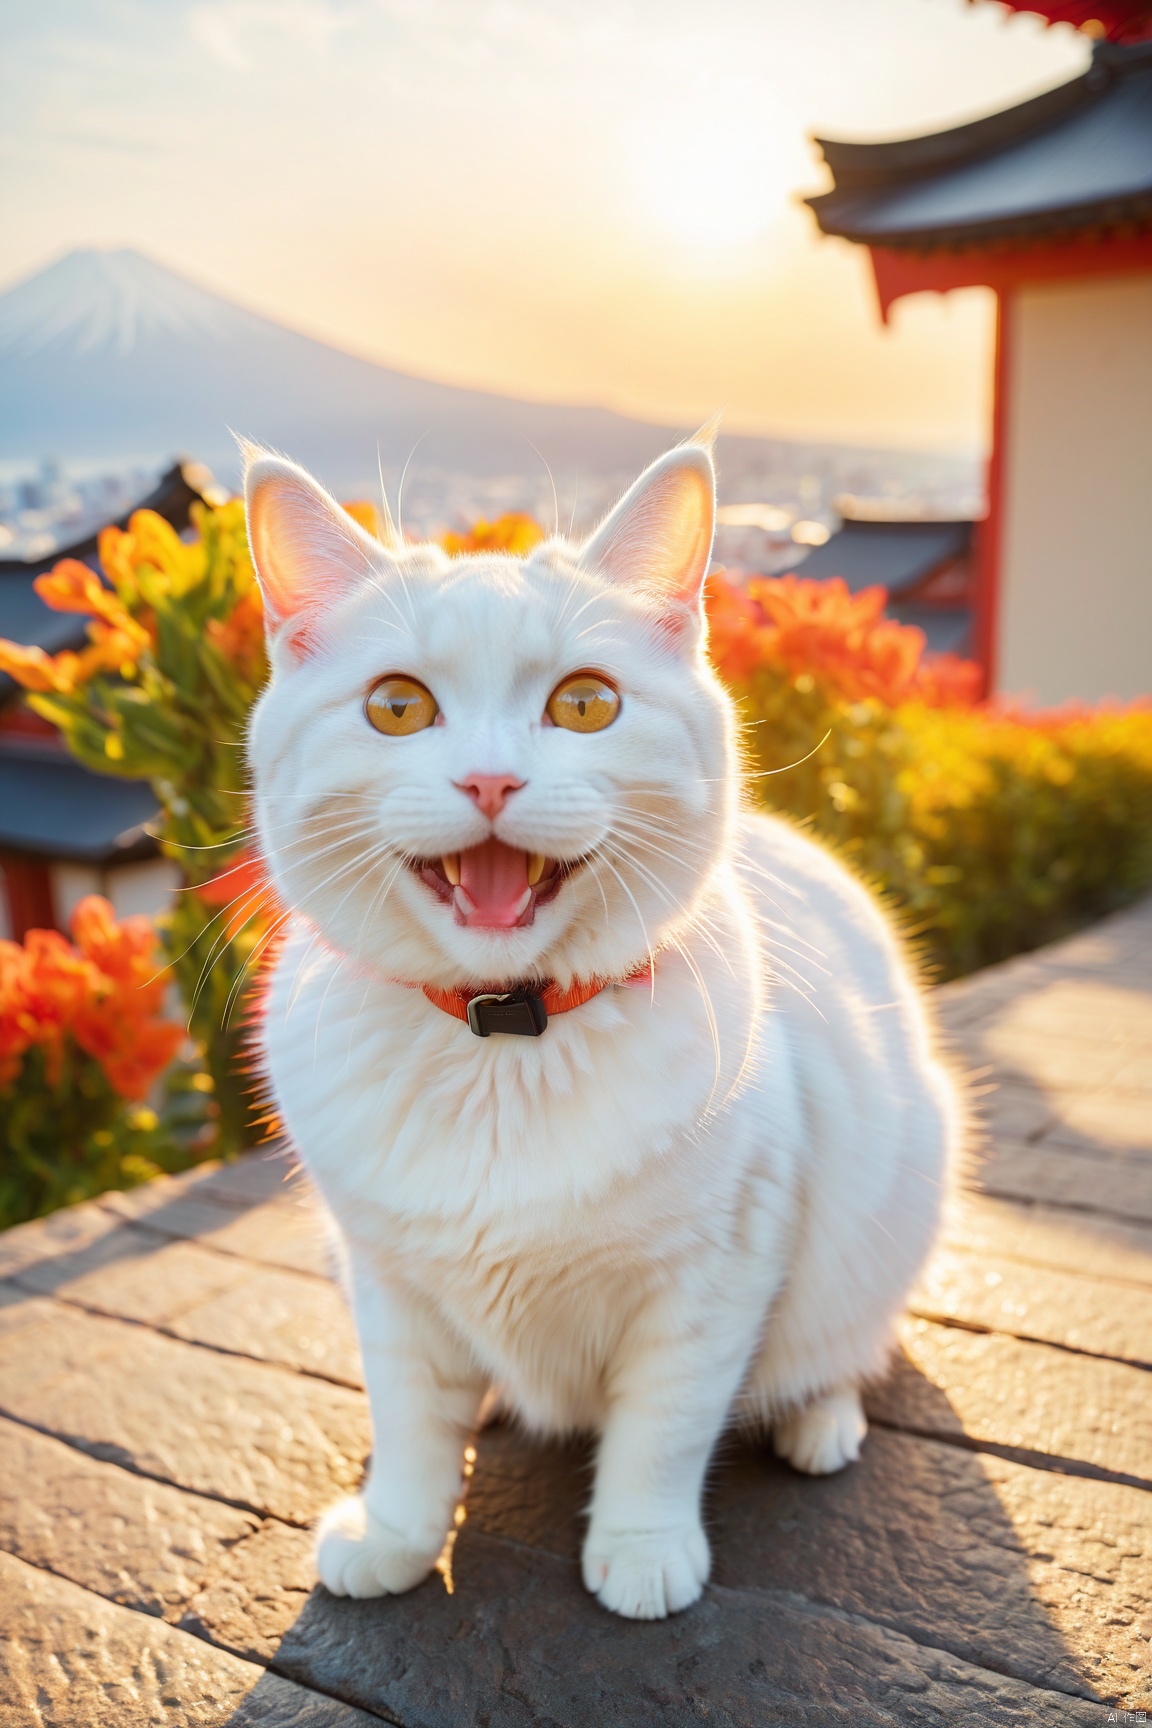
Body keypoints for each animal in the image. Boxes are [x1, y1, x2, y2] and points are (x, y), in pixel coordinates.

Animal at [248, 432, 960, 1617]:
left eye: (586, 705)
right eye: (397, 707)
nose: (491, 780)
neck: (502, 1050)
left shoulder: (719, 1270)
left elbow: (661, 1429)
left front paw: (639, 1549)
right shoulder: (386, 1282)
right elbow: (411, 1421)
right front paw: (397, 1534)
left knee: (849, 1345)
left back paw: (818, 1420)